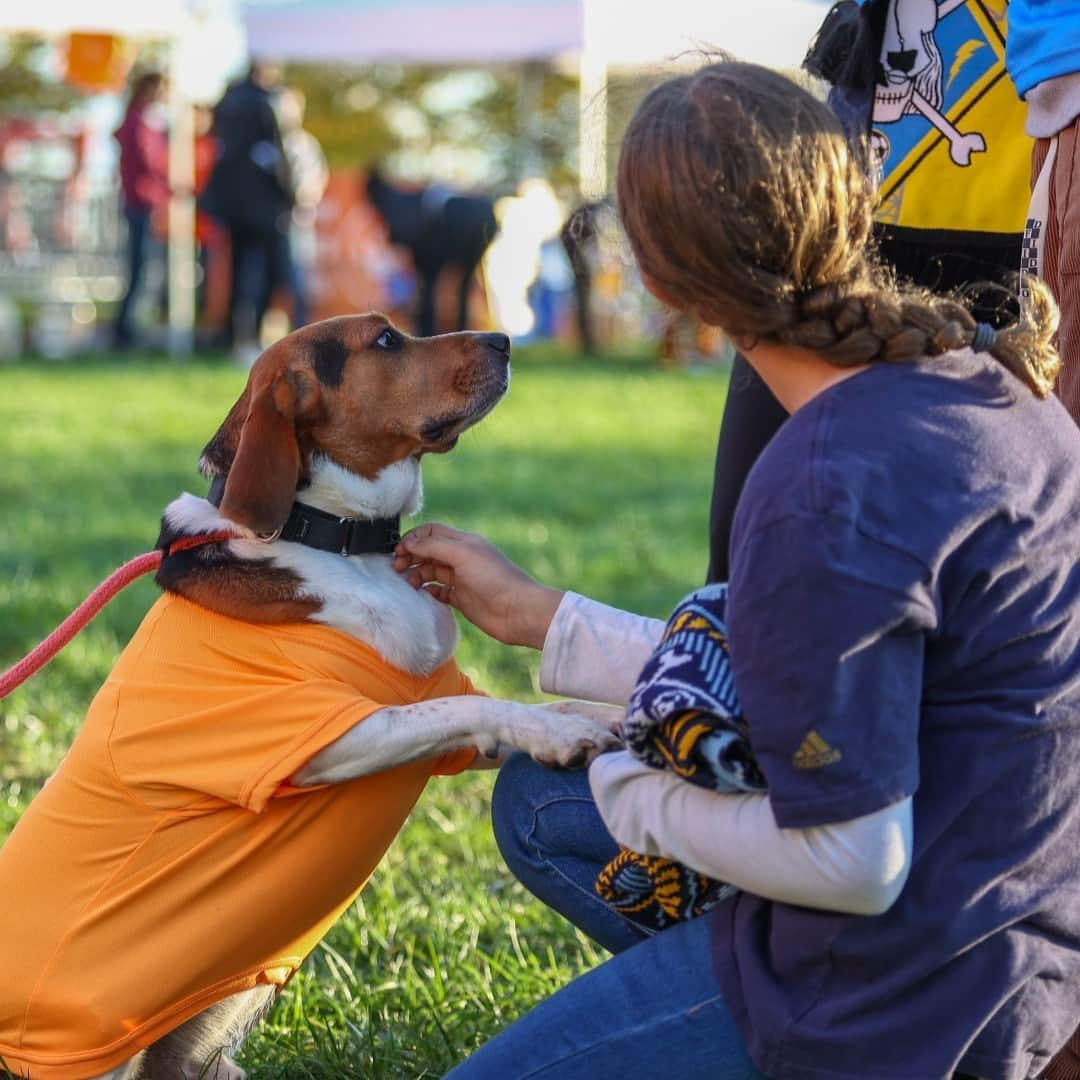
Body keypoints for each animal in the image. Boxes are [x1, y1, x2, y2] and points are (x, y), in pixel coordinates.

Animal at [0, 315, 622, 1080]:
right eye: (385, 341)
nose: (504, 340)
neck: (338, 542)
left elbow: (544, 705)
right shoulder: (335, 737)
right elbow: (466, 709)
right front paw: (563, 739)